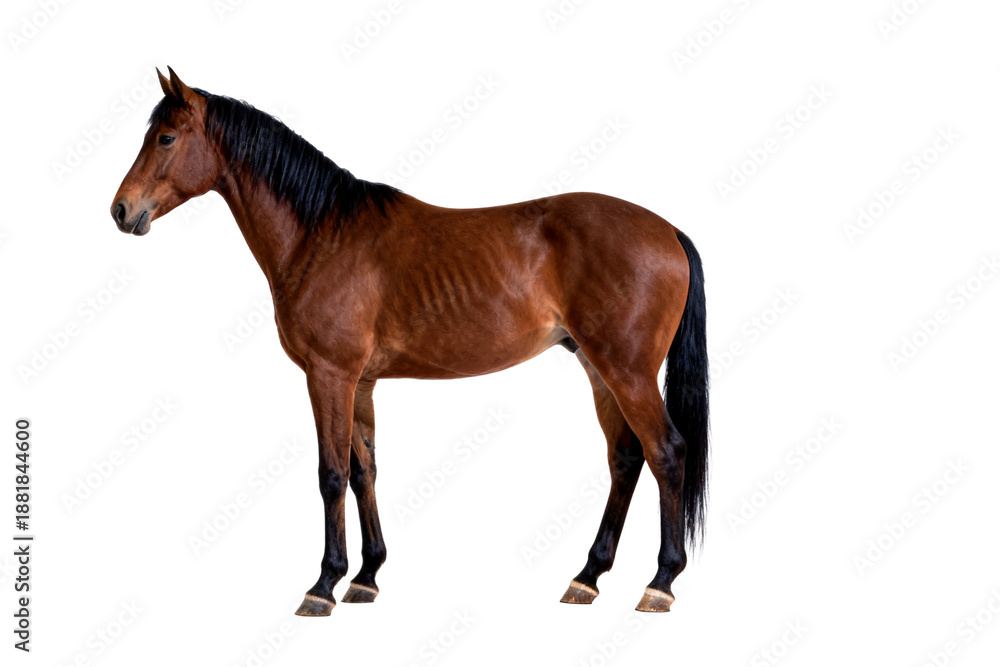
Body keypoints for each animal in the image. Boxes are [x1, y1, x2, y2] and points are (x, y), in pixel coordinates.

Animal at [111, 68, 709, 617]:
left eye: (166, 138)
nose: (121, 210)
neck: (322, 234)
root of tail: (668, 231)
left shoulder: (329, 375)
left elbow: (331, 475)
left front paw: (323, 585)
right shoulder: (361, 383)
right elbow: (363, 471)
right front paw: (366, 577)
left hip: (627, 371)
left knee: (667, 452)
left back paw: (660, 582)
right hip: (597, 367)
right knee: (626, 458)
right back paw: (587, 577)